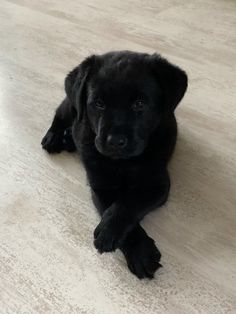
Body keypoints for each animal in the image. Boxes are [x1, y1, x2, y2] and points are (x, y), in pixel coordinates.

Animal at [41, 51, 187, 280]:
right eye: (99, 104)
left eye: (139, 104)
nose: (115, 141)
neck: (123, 163)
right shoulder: (101, 185)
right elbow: (115, 205)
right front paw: (139, 251)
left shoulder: (157, 183)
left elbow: (129, 203)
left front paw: (116, 235)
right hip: (72, 105)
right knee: (61, 113)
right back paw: (54, 137)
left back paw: (68, 139)